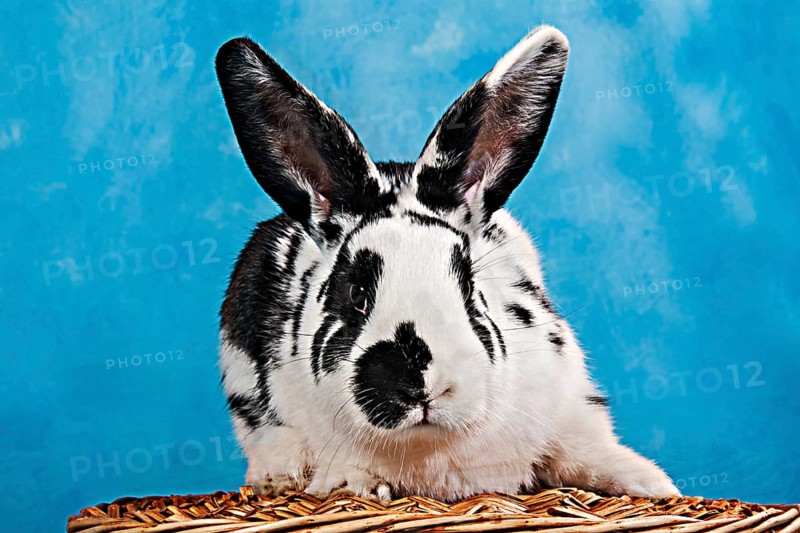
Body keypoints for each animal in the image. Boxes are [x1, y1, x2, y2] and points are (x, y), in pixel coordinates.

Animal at [215, 25, 679, 503]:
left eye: (470, 287)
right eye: (355, 293)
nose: (420, 384)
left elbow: (580, 449)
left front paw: (652, 483)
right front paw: (357, 483)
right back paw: (277, 474)